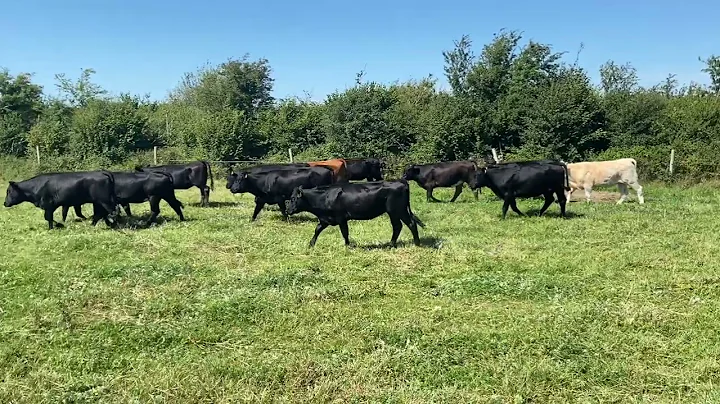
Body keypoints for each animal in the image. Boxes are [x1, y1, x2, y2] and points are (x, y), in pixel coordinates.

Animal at [284, 181, 424, 249]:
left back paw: (416, 243)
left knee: (409, 224)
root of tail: (402, 183)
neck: (325, 196)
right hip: (394, 212)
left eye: (293, 198)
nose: (287, 210)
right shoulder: (325, 219)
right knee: (399, 226)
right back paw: (393, 244)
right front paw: (311, 244)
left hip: (397, 210)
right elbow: (317, 230)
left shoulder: (341, 218)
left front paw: (347, 246)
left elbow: (345, 232)